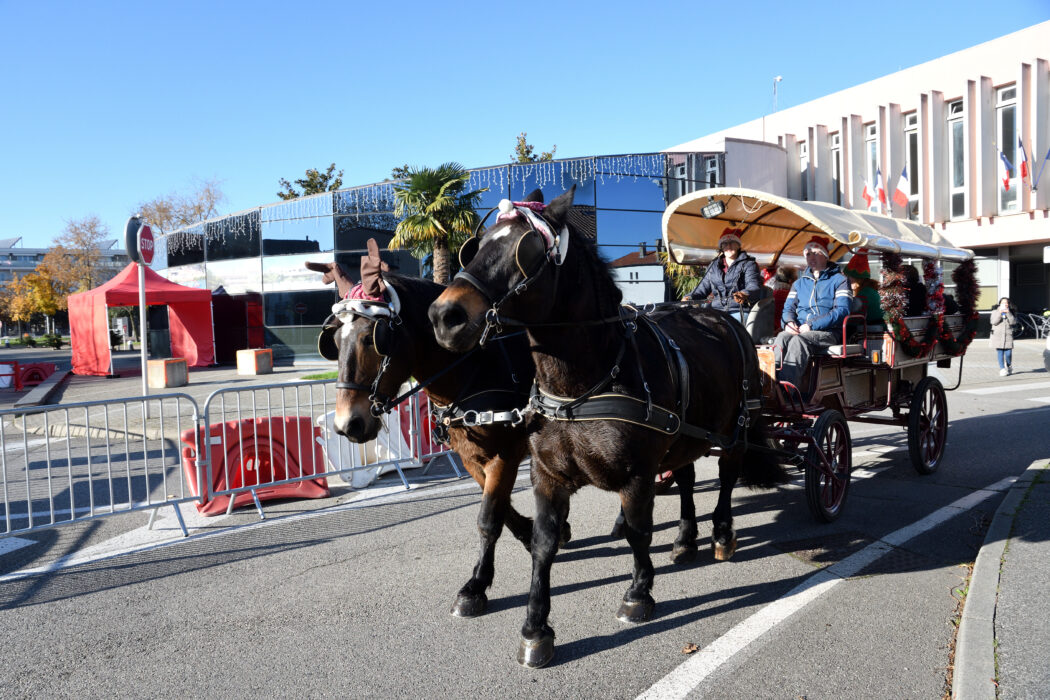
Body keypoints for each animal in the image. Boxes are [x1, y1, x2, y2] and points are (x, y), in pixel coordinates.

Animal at [428, 185, 789, 667]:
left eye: (525, 249)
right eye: (476, 245)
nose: (444, 316)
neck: (585, 383)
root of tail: (722, 317)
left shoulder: (637, 474)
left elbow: (637, 532)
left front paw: (638, 593)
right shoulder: (546, 476)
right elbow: (544, 542)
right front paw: (536, 627)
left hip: (735, 429)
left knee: (727, 479)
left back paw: (722, 535)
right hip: (685, 436)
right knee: (688, 480)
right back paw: (684, 539)